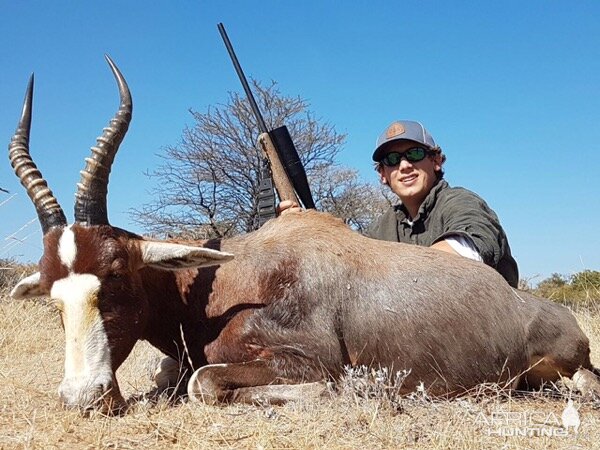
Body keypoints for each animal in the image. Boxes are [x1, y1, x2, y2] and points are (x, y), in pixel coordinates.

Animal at [9, 57, 600, 414]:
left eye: (114, 276)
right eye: (52, 296)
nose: (83, 399)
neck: (230, 280)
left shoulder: (309, 361)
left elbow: (205, 382)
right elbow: (170, 375)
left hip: (567, 367)